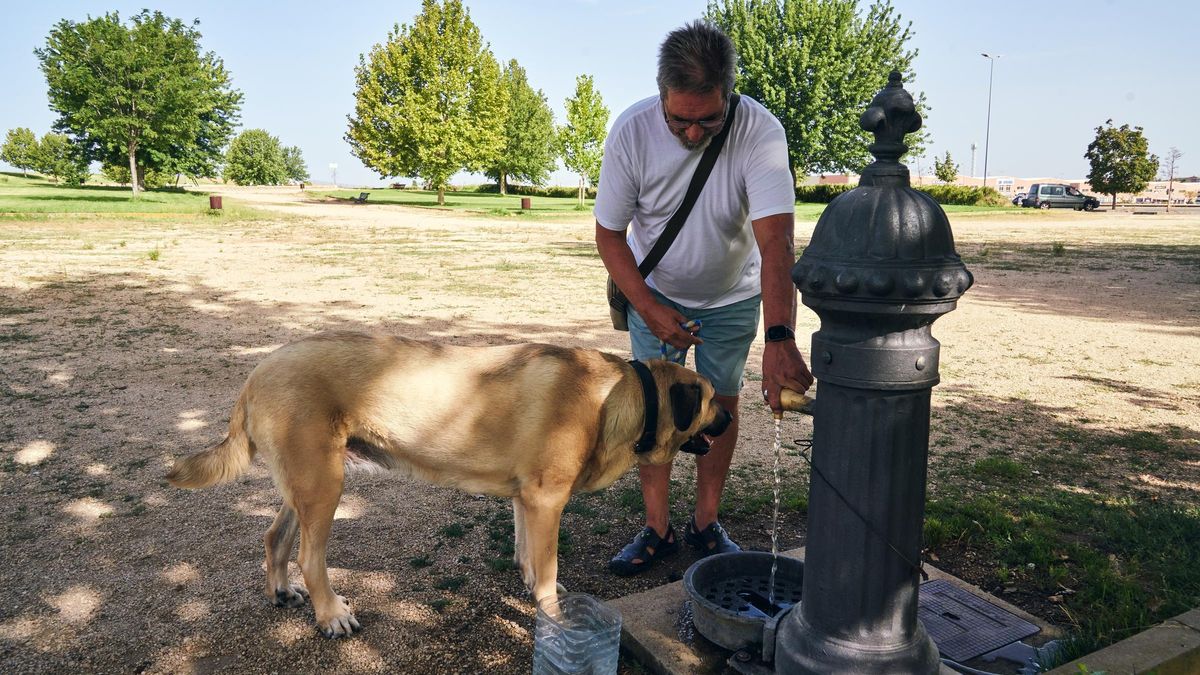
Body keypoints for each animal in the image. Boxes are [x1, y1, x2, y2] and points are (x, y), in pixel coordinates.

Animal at [166, 331, 729, 634]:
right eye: (709, 401)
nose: (729, 419)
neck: (618, 396)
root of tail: (256, 372)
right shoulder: (548, 499)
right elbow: (547, 566)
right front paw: (551, 610)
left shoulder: (529, 500)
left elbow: (528, 554)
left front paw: (531, 586)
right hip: (324, 484)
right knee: (310, 556)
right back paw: (332, 615)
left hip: (305, 484)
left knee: (273, 537)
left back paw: (282, 591)